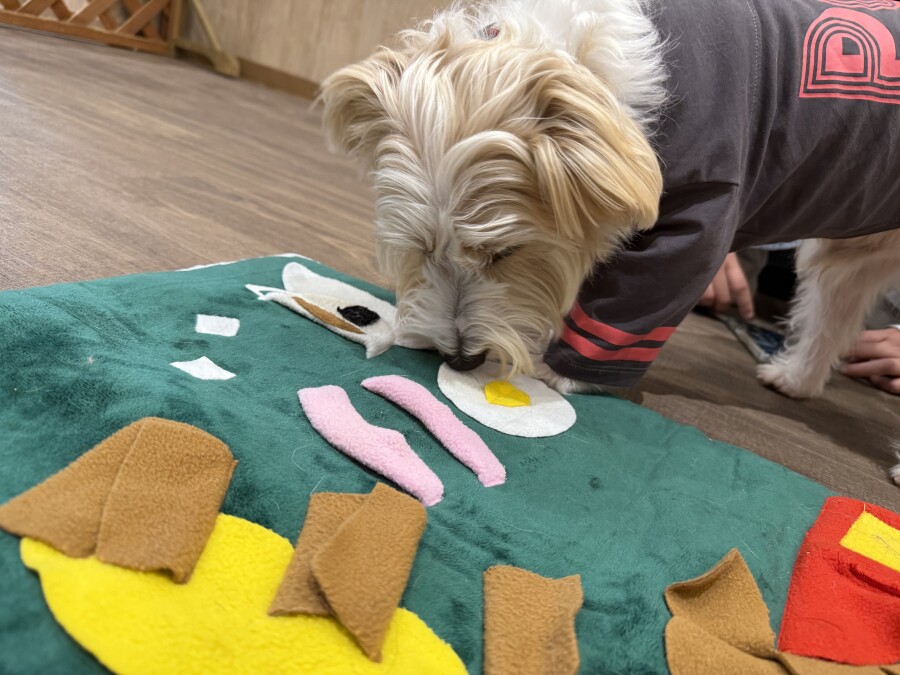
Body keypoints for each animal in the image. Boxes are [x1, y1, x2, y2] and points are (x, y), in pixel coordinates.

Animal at [319, 0, 900, 405]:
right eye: (423, 250)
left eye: (506, 254)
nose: (461, 359)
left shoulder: (698, 222)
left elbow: (626, 313)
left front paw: (559, 374)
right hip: (855, 253)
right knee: (832, 311)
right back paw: (795, 378)